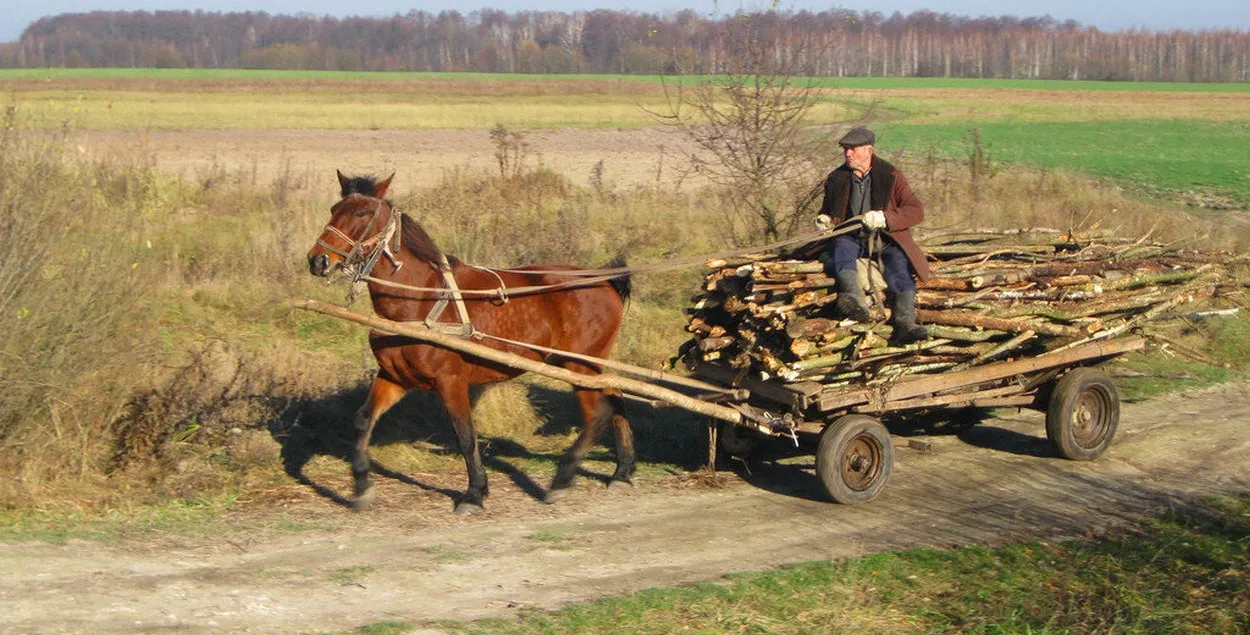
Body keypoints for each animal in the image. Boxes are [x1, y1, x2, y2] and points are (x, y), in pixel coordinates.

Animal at [303, 172, 635, 515]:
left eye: (362, 213)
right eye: (334, 209)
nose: (318, 260)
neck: (423, 299)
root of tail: (604, 279)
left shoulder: (451, 381)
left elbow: (465, 436)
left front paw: (474, 493)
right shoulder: (395, 378)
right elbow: (362, 421)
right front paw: (361, 487)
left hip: (578, 365)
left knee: (597, 415)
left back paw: (562, 479)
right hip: (587, 364)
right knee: (616, 397)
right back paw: (622, 472)